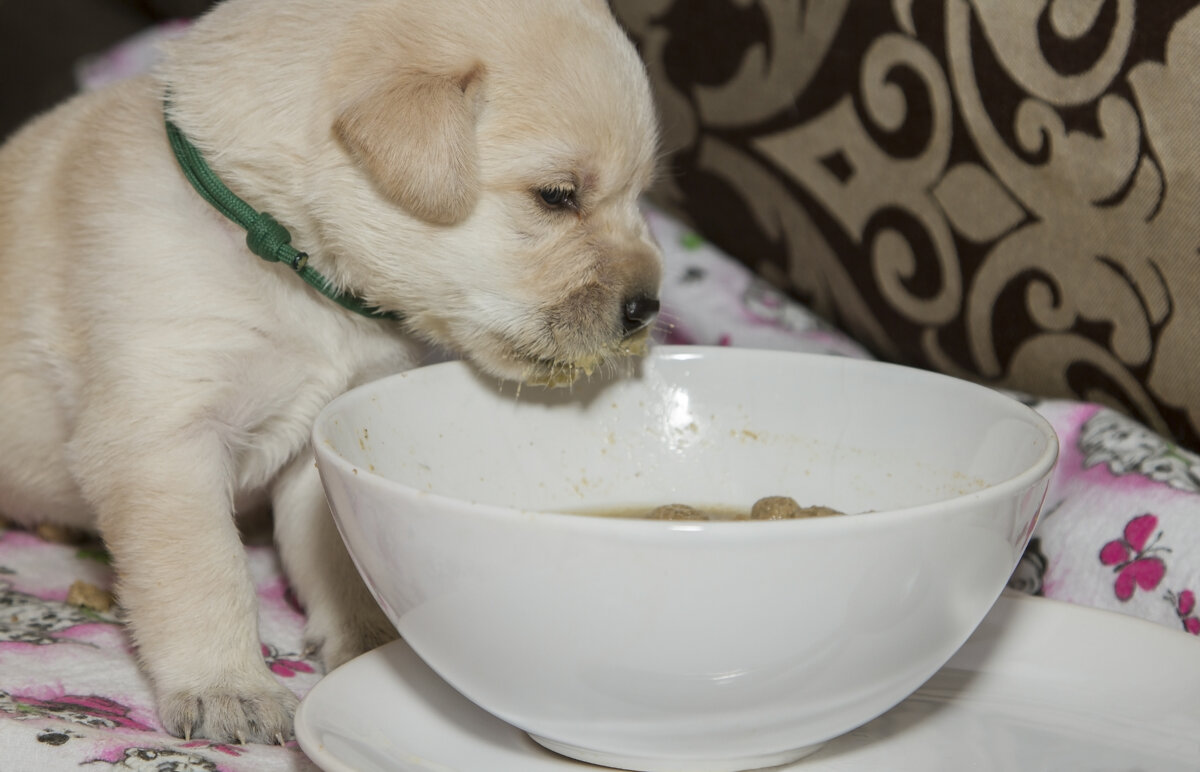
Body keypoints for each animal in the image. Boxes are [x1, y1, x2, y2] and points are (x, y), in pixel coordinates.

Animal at [0, 1, 662, 749]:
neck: (283, 253)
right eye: (557, 196)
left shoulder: (318, 443)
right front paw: (227, 687)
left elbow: (339, 563)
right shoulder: (164, 439)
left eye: (642, 195)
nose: (647, 307)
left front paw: (370, 642)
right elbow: (206, 575)